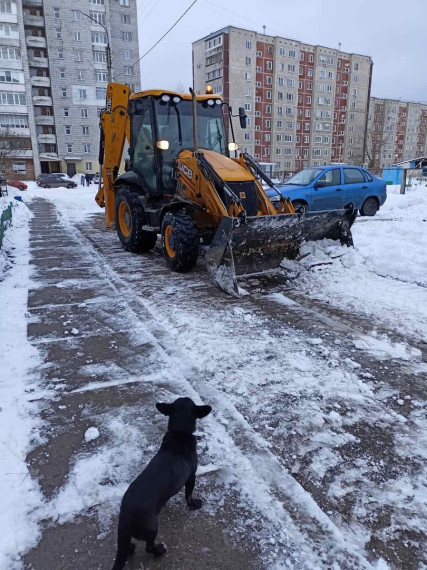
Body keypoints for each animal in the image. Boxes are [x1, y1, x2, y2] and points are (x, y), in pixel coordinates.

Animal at [110, 394, 211, 568]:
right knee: (149, 547)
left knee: (125, 546)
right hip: (152, 528)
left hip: (124, 533)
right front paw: (193, 504)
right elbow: (189, 494)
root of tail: (127, 516)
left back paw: (130, 548)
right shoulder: (191, 477)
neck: (179, 432)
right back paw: (159, 550)